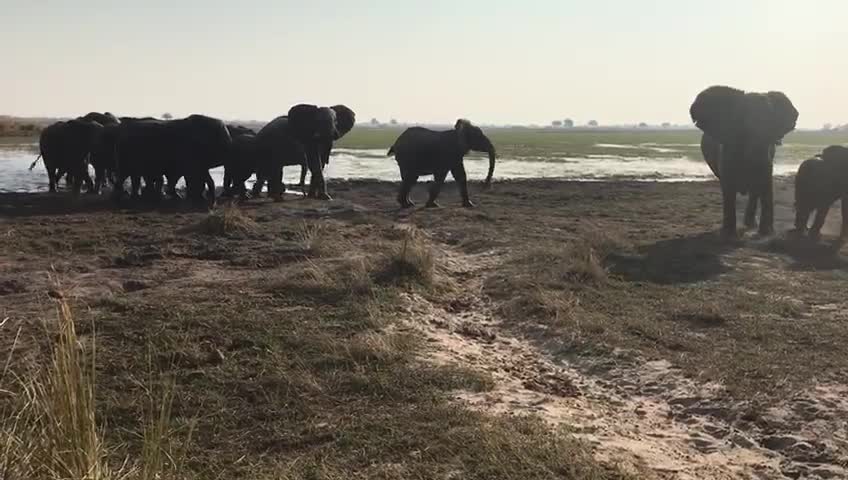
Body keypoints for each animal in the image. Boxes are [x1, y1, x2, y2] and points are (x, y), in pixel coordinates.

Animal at [692, 87, 800, 237]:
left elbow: (765, 184)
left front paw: (766, 233)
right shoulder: (727, 150)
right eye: (744, 124)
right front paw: (728, 234)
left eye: (772, 126)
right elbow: (728, 188)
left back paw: (751, 225)